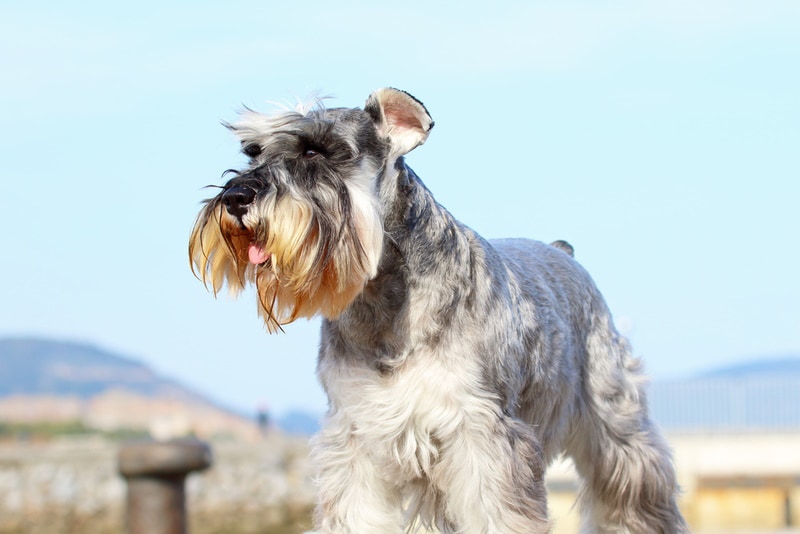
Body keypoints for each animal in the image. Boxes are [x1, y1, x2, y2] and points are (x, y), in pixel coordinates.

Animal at [189, 89, 688, 534]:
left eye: (316, 150)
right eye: (252, 151)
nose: (235, 198)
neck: (386, 304)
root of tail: (562, 251)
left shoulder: (482, 434)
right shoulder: (356, 437)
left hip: (617, 430)